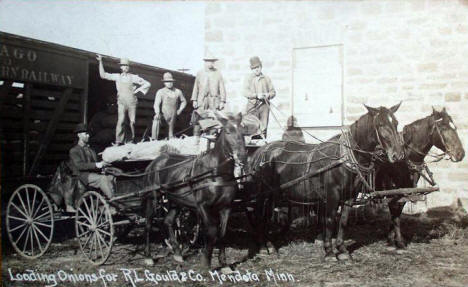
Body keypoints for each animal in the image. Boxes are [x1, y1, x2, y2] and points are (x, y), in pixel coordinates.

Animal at [143, 111, 247, 272]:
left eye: (243, 132)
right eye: (228, 131)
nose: (242, 156)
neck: (216, 172)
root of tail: (155, 162)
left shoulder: (226, 207)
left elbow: (222, 233)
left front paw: (224, 264)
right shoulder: (202, 206)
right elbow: (212, 231)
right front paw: (206, 261)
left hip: (176, 201)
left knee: (168, 221)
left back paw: (177, 253)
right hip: (153, 198)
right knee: (148, 223)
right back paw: (148, 257)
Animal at [249, 103, 406, 260]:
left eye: (396, 123)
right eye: (380, 124)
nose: (397, 155)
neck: (344, 159)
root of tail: (261, 151)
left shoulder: (349, 196)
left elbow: (343, 221)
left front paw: (342, 249)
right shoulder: (332, 195)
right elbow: (330, 220)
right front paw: (329, 252)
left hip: (274, 195)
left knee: (266, 216)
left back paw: (269, 245)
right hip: (264, 195)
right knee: (259, 216)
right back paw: (262, 247)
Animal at [372, 107, 464, 250]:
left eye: (454, 126)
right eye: (443, 128)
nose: (460, 154)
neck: (404, 160)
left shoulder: (406, 190)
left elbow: (397, 211)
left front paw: (391, 238)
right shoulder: (391, 189)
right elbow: (394, 211)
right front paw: (398, 241)